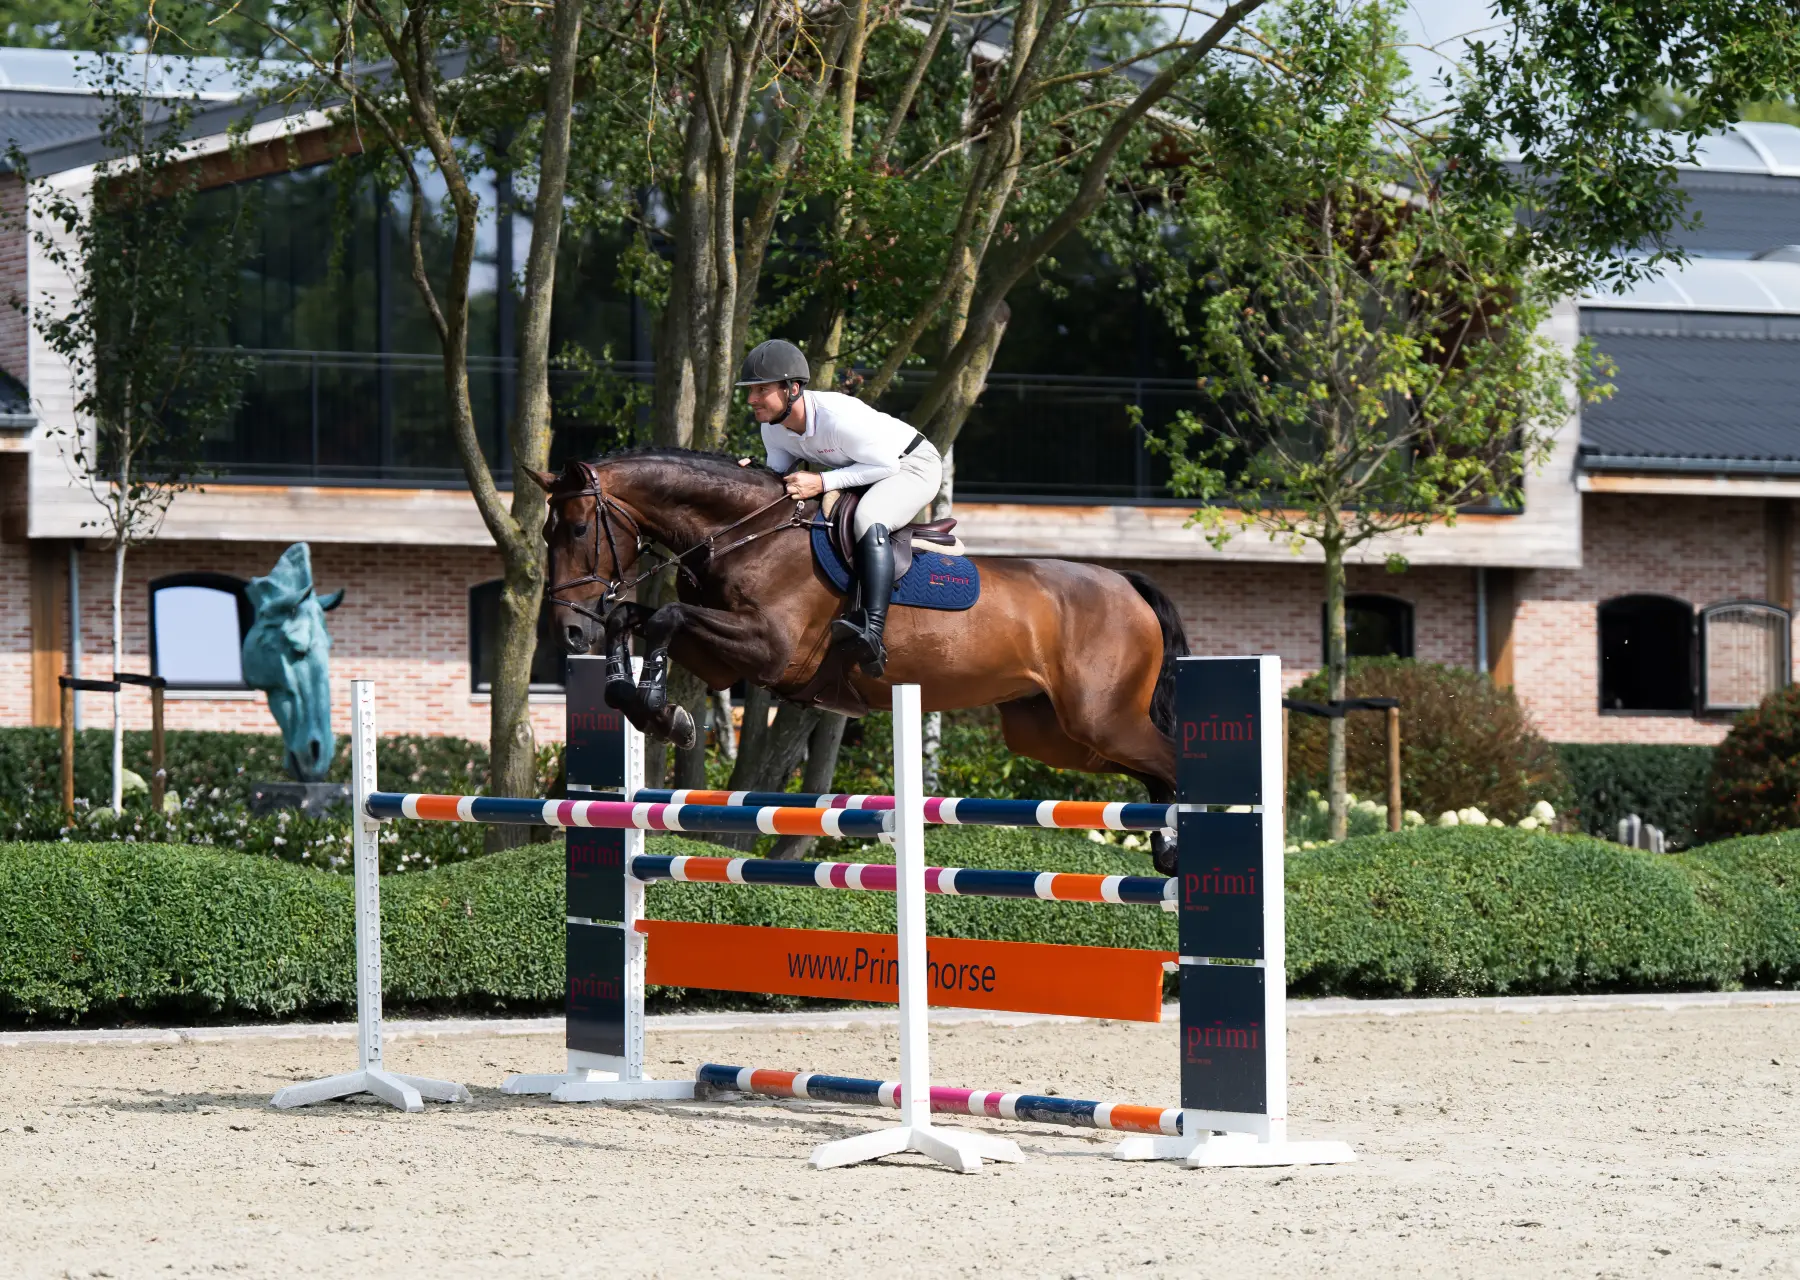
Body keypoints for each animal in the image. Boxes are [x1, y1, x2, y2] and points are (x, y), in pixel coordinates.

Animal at [530, 449, 1189, 872]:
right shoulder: (723, 660)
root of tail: (1128, 585)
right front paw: (645, 705)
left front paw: (666, 714)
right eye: (544, 534)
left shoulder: (769, 649)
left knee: (1171, 762)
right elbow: (633, 618)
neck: (748, 533)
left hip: (1102, 719)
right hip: (1054, 735)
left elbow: (665, 617)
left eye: (580, 528)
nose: (570, 629)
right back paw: (1168, 851)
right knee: (1151, 774)